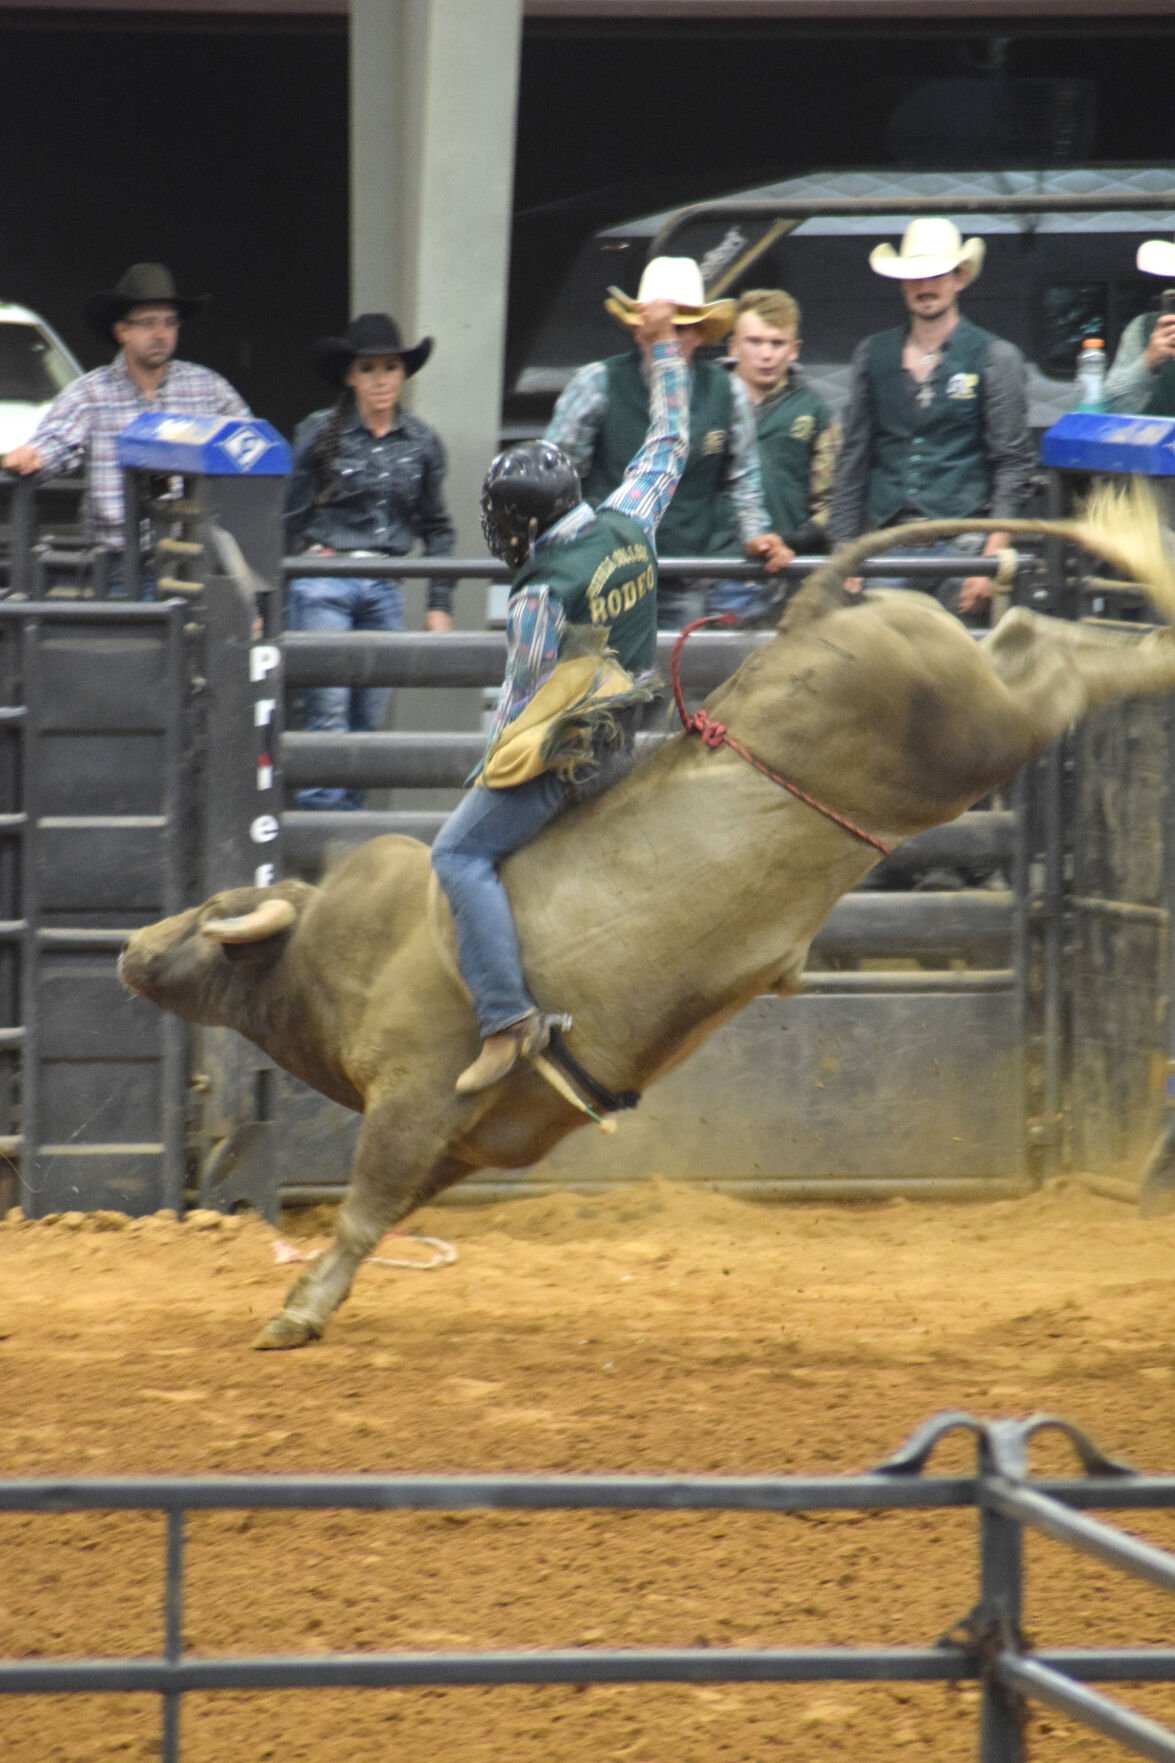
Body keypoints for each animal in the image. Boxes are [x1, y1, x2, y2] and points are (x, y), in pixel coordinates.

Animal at [120, 483, 1175, 1346]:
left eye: (212, 910)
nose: (130, 947)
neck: (337, 956)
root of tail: (812, 614)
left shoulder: (416, 1098)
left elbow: (362, 1204)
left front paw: (296, 1312)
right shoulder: (473, 1138)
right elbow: (387, 1211)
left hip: (975, 735)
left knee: (1054, 664)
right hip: (978, 706)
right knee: (1037, 633)